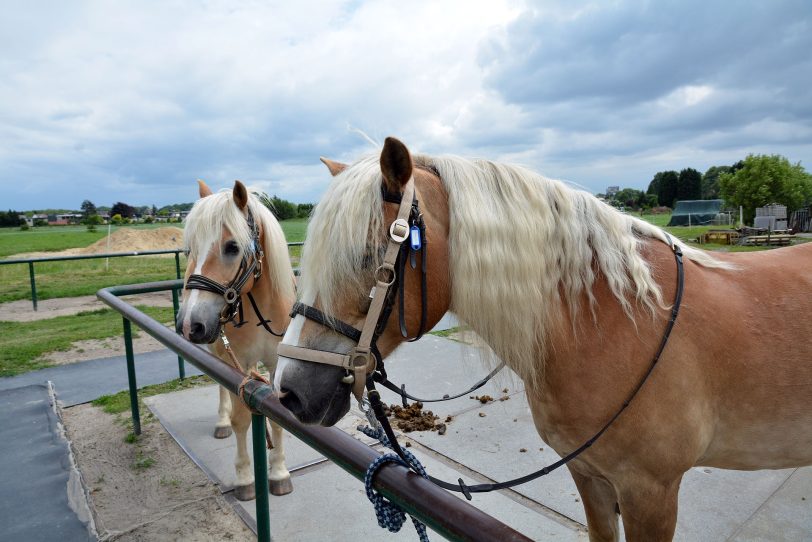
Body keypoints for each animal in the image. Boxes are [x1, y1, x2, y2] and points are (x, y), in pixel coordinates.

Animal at [176, 181, 296, 504]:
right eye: (190, 248)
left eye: (232, 247)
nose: (189, 324)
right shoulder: (237, 362)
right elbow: (241, 419)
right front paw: (244, 478)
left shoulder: (276, 364)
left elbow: (277, 420)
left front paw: (279, 473)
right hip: (218, 351)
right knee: (221, 390)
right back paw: (221, 422)